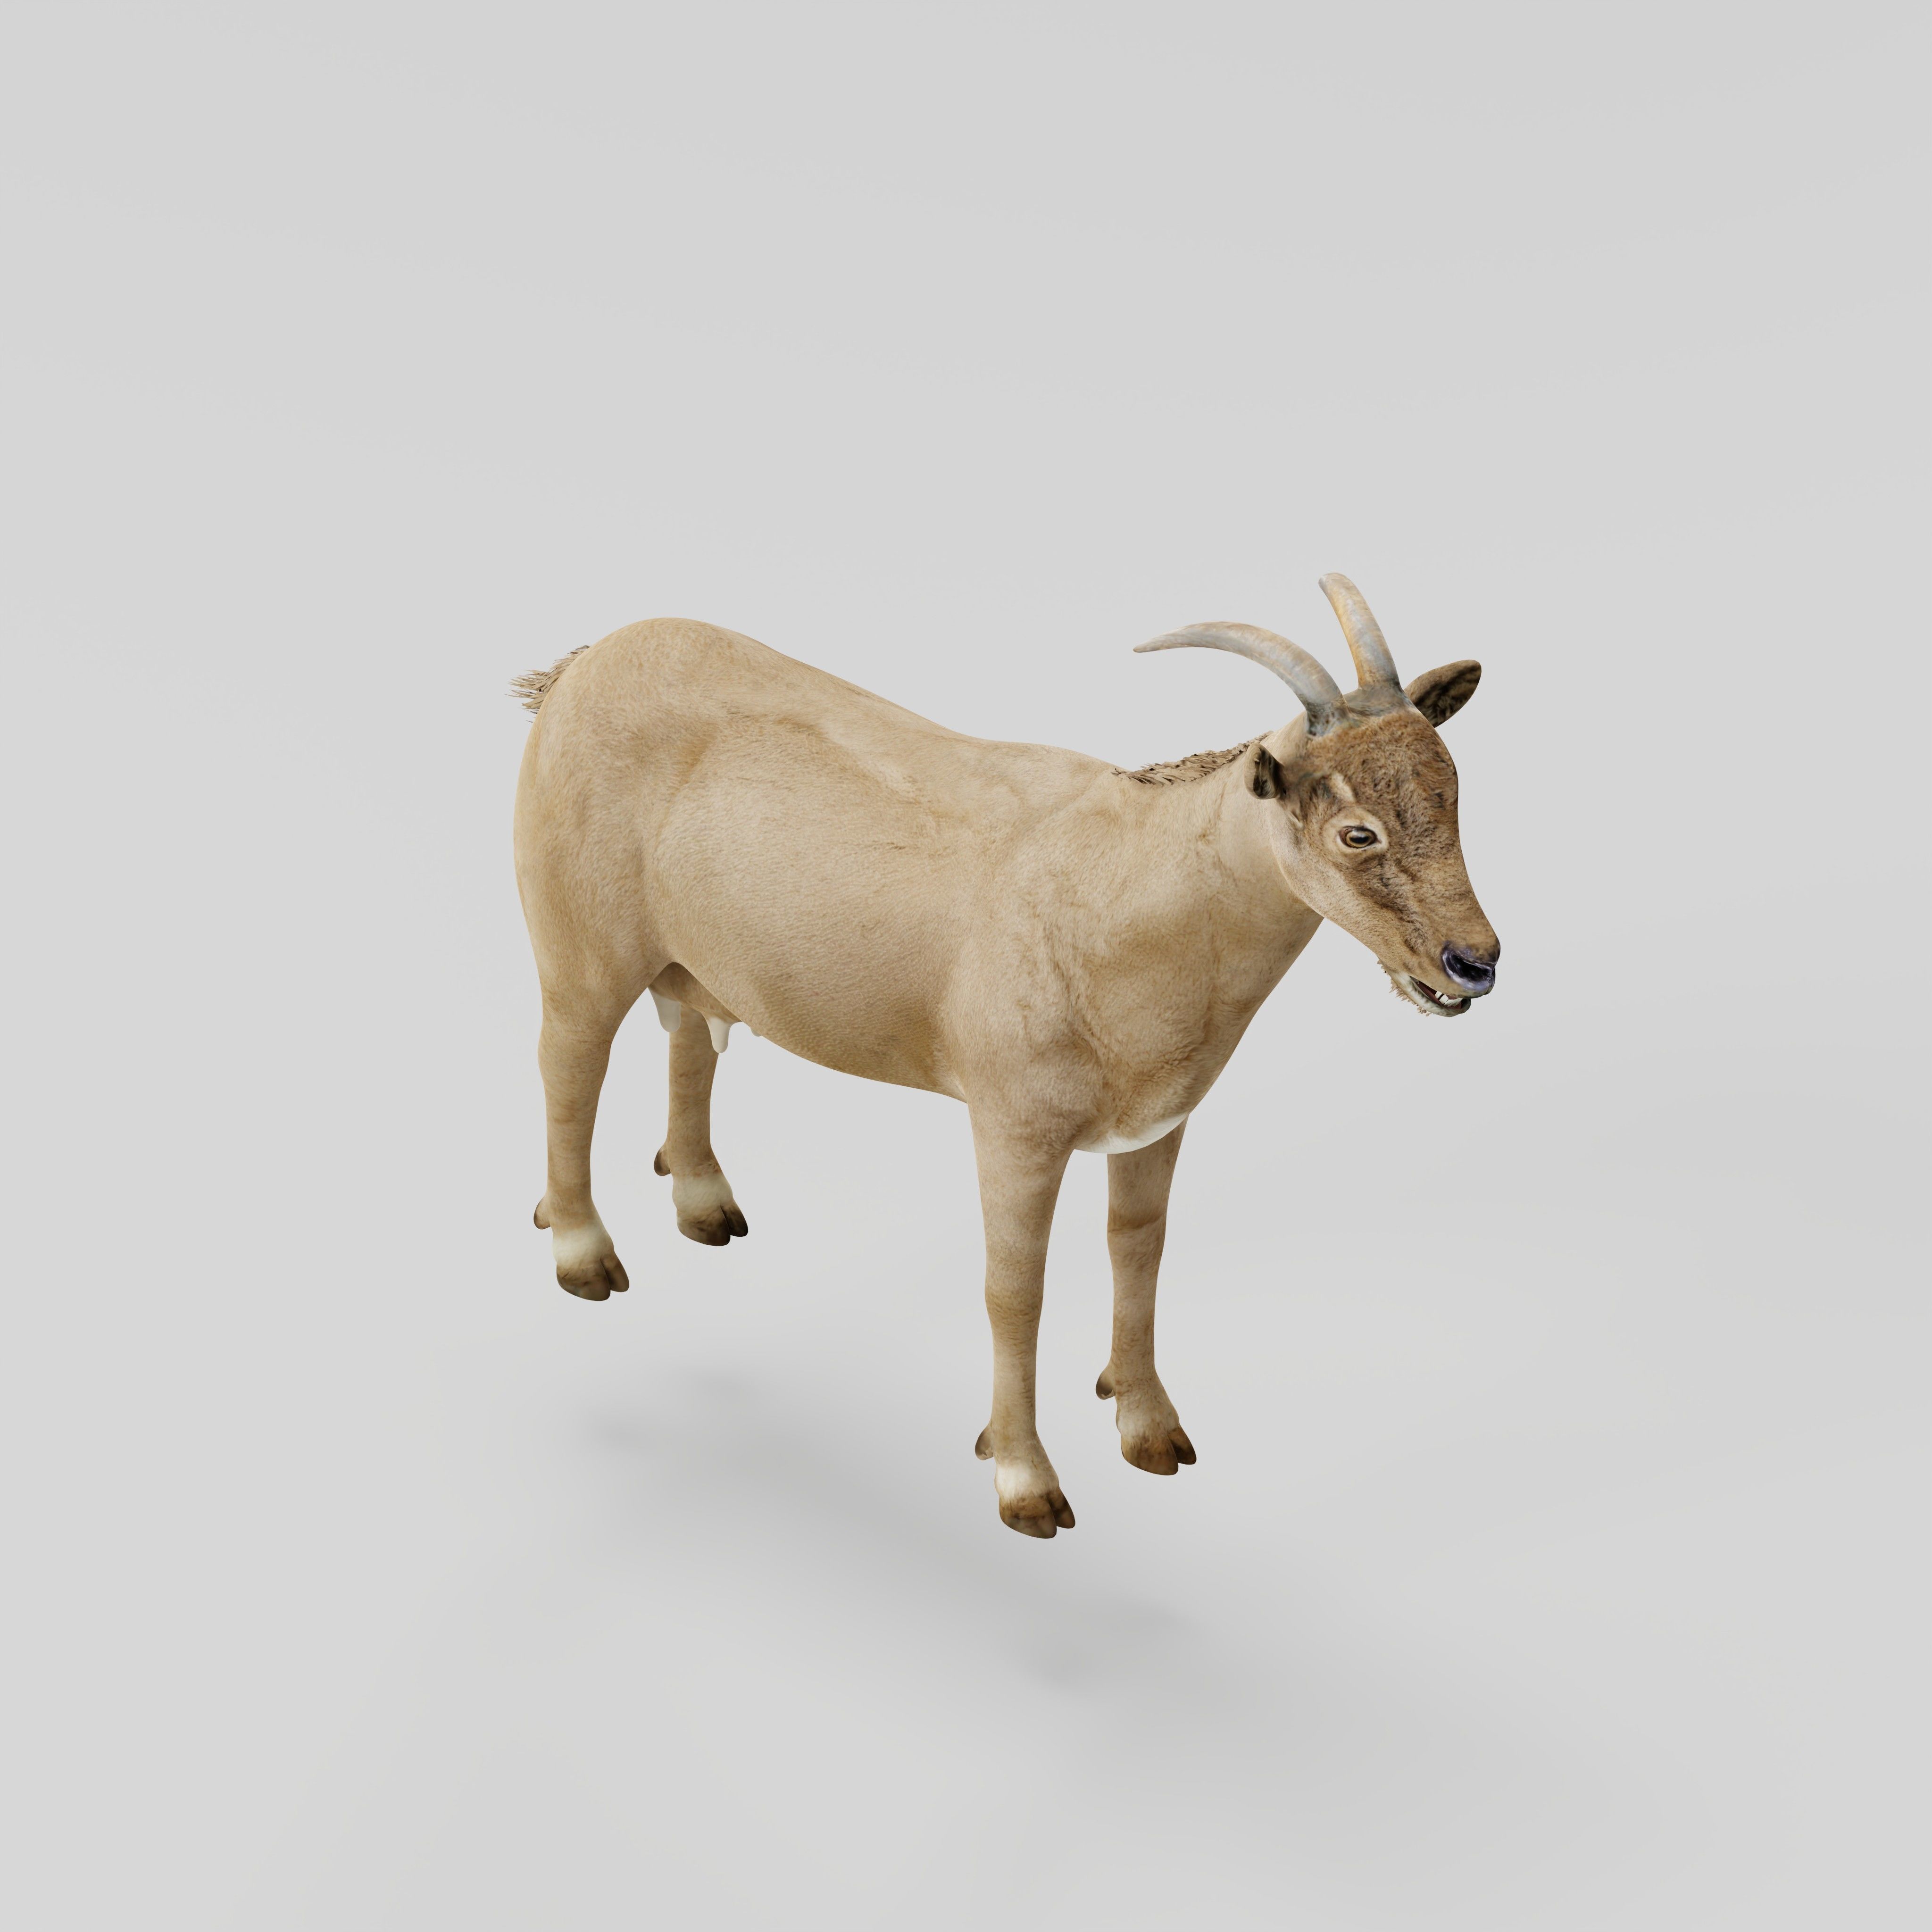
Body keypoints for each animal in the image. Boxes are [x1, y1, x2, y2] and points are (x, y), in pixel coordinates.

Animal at [512, 576, 1499, 1536]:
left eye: (1449, 794)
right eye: (1357, 832)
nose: (1474, 963)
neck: (1126, 882)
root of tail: (577, 667)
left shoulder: (1157, 1123)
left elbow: (1139, 1249)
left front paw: (1147, 1427)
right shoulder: (1015, 1125)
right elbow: (1013, 1289)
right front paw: (1025, 1481)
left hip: (694, 959)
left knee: (689, 1035)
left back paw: (705, 1204)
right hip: (579, 949)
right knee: (568, 1067)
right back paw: (583, 1256)